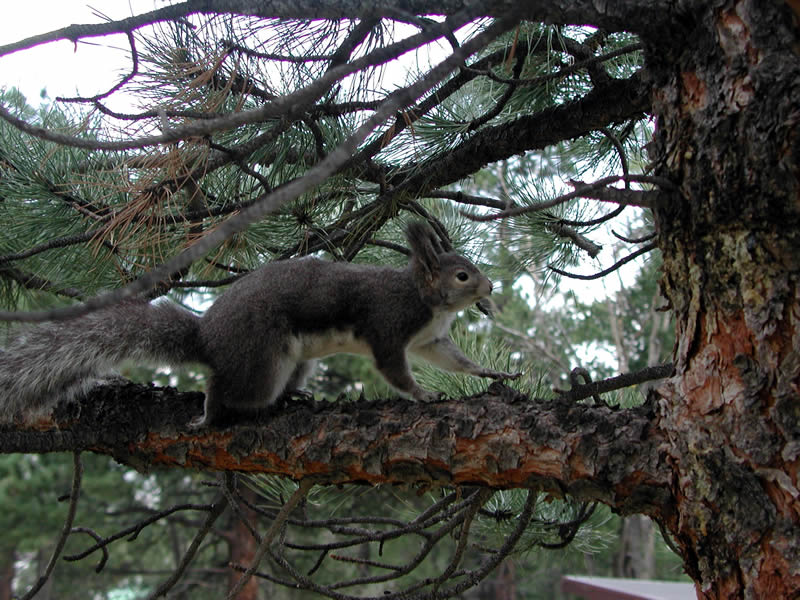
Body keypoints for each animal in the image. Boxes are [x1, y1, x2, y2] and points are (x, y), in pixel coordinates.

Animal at [0, 222, 520, 428]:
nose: (491, 287)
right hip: (261, 355)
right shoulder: (389, 327)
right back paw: (209, 414)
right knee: (228, 387)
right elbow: (395, 369)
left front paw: (492, 372)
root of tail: (207, 337)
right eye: (462, 276)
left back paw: (296, 396)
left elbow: (454, 361)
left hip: (295, 361)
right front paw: (424, 395)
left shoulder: (431, 339)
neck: (424, 299)